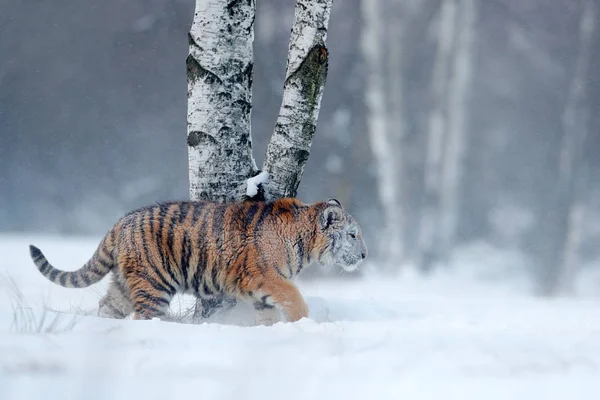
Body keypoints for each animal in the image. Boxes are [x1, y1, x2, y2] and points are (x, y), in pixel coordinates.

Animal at [28, 198, 368, 324]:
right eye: (353, 235)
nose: (366, 255)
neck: (305, 242)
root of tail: (121, 223)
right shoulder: (265, 276)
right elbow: (294, 297)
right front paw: (304, 323)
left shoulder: (261, 290)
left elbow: (270, 312)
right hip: (154, 285)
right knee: (144, 316)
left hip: (123, 286)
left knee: (108, 308)